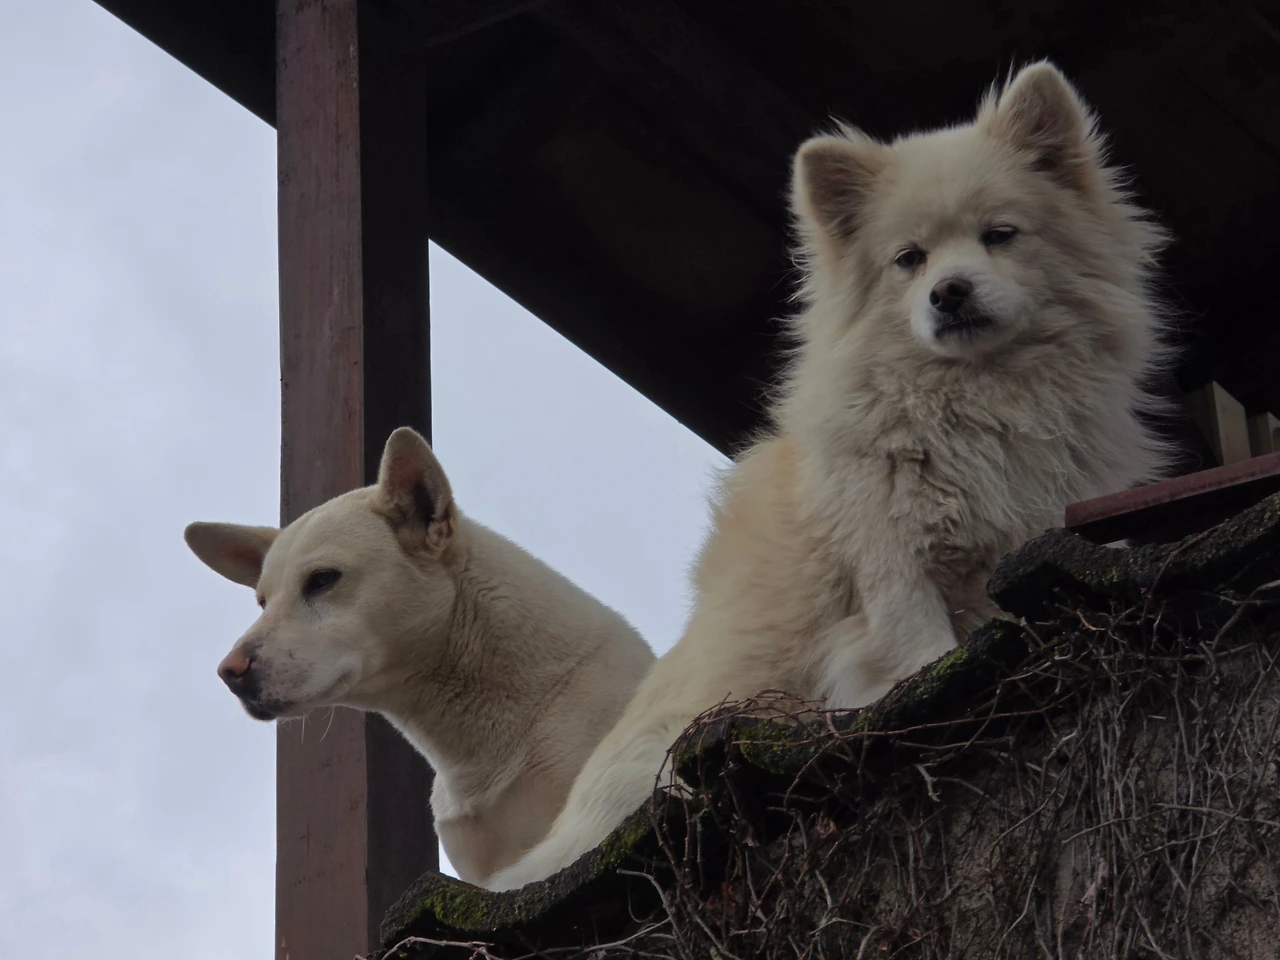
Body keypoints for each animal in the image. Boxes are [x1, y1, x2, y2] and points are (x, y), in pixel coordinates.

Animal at [487, 61, 1173, 891]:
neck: (977, 400)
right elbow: (921, 652)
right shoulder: (894, 570)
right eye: (910, 259)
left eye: (1000, 236)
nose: (949, 292)